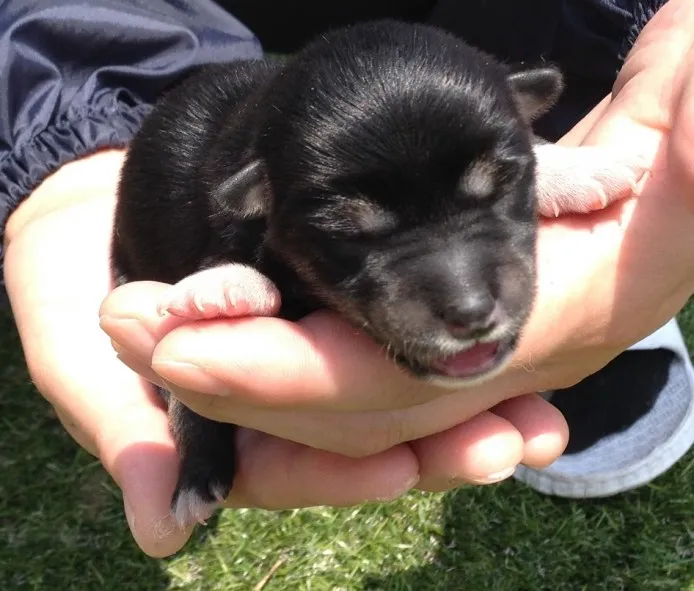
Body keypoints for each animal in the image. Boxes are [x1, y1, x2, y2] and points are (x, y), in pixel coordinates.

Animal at [110, 19, 648, 528]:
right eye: (350, 234)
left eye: (504, 184)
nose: (472, 312)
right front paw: (227, 285)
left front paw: (579, 169)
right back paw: (196, 479)